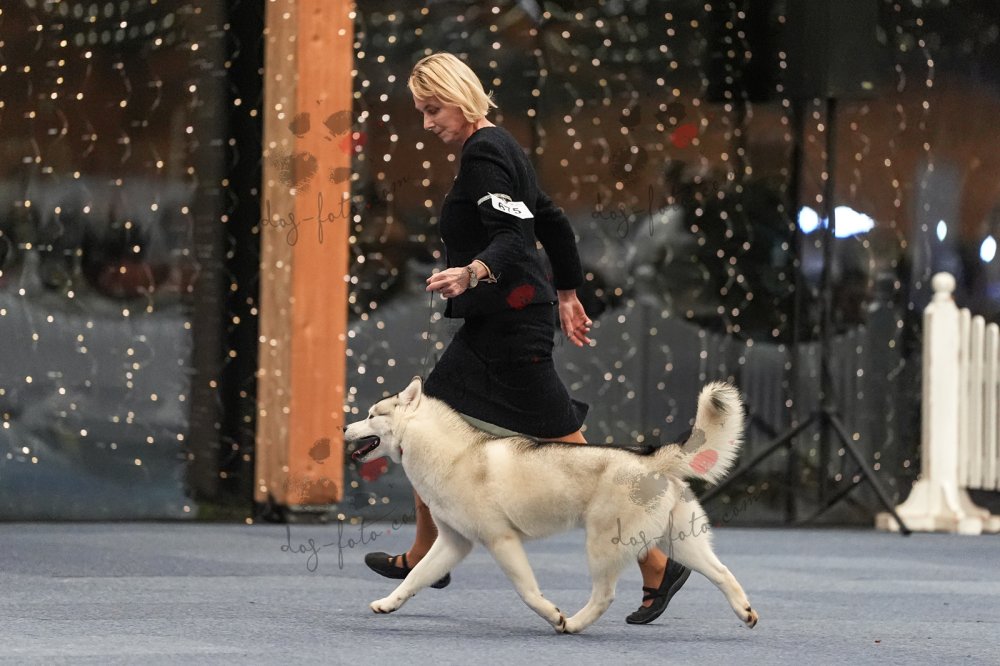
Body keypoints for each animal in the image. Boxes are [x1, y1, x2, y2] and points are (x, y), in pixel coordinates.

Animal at [345, 377, 758, 634]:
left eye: (370, 415)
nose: (343, 428)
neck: (455, 455)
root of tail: (652, 458)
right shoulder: (452, 543)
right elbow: (415, 577)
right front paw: (388, 603)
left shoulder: (501, 541)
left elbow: (528, 592)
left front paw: (553, 615)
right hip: (681, 543)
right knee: (723, 573)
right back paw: (745, 612)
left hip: (602, 545)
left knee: (604, 595)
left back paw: (573, 624)